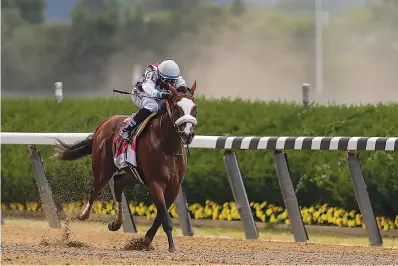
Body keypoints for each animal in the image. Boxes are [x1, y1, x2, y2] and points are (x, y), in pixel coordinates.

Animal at [50, 82, 198, 252]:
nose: (188, 134)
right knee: (95, 190)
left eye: (194, 107)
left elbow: (161, 215)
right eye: (176, 107)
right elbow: (165, 217)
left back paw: (116, 223)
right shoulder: (156, 182)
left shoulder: (174, 185)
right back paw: (83, 214)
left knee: (118, 183)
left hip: (132, 174)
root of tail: (104, 123)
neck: (167, 145)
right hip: (103, 170)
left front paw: (145, 241)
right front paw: (171, 246)